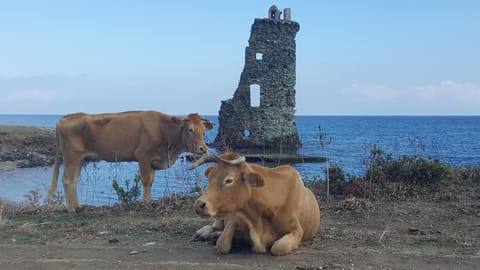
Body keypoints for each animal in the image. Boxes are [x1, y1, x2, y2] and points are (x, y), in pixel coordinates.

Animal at [49, 110, 213, 212]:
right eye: (190, 129)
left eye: (204, 130)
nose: (203, 148)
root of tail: (65, 118)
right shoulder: (143, 156)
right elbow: (146, 181)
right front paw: (145, 203)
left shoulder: (153, 161)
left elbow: (151, 182)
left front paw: (149, 201)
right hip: (71, 157)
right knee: (67, 180)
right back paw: (71, 209)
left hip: (81, 159)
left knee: (73, 181)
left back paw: (77, 207)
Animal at [189, 153, 320, 256]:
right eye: (210, 179)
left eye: (229, 180)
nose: (198, 205)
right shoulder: (236, 216)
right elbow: (222, 244)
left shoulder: (297, 231)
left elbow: (278, 247)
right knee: (215, 226)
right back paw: (204, 233)